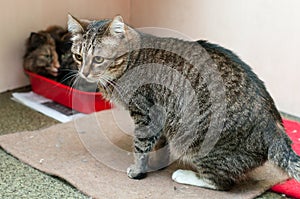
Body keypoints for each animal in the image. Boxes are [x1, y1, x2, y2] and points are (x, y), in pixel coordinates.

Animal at [67, 14, 300, 190]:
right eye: (78, 57)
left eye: (98, 59)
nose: (84, 73)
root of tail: (276, 130)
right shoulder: (162, 118)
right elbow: (158, 145)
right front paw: (158, 162)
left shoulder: (147, 114)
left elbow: (141, 147)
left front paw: (138, 170)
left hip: (200, 143)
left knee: (220, 183)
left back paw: (184, 175)